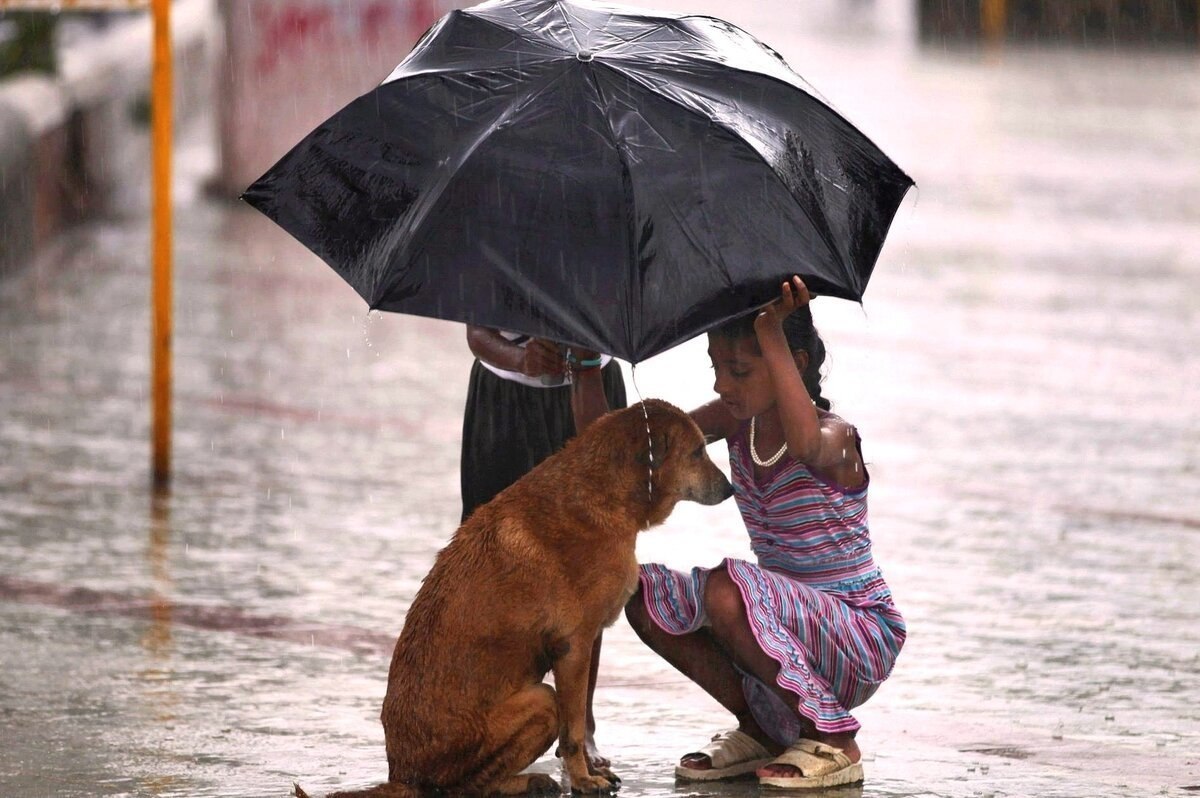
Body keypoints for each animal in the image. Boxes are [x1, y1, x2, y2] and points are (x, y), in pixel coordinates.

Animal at [300, 400, 729, 792]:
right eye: (697, 452)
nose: (730, 489)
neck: (602, 490)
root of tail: (402, 775)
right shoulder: (574, 648)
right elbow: (574, 733)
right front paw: (583, 779)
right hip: (541, 701)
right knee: (466, 788)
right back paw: (529, 782)